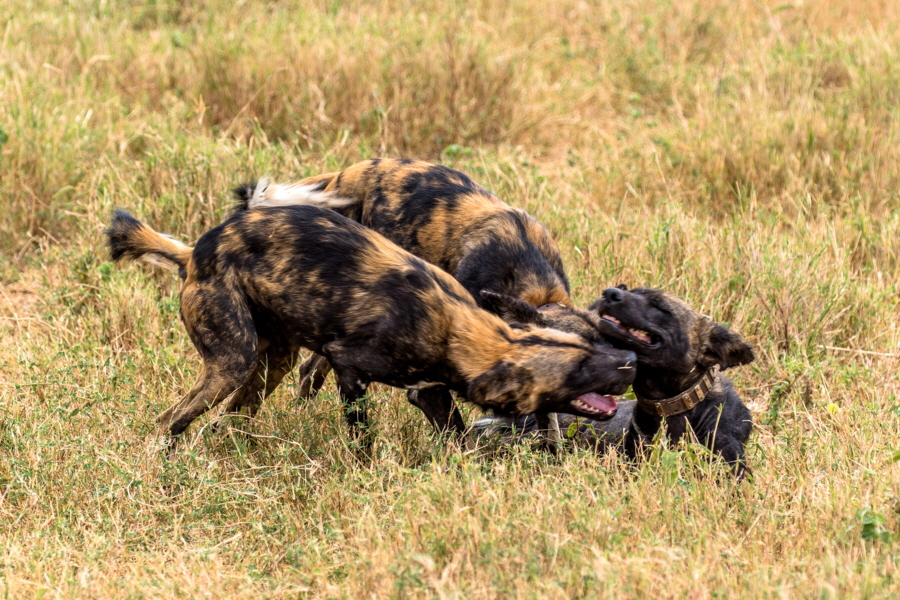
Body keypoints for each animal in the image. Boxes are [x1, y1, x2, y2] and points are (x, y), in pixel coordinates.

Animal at [107, 206, 640, 450]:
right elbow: (363, 440)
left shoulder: (429, 389)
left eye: (599, 347)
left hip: (269, 363)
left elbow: (458, 438)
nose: (631, 362)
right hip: (231, 363)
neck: (455, 328)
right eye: (578, 368)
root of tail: (196, 252)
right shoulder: (353, 373)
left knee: (232, 416)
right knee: (172, 419)